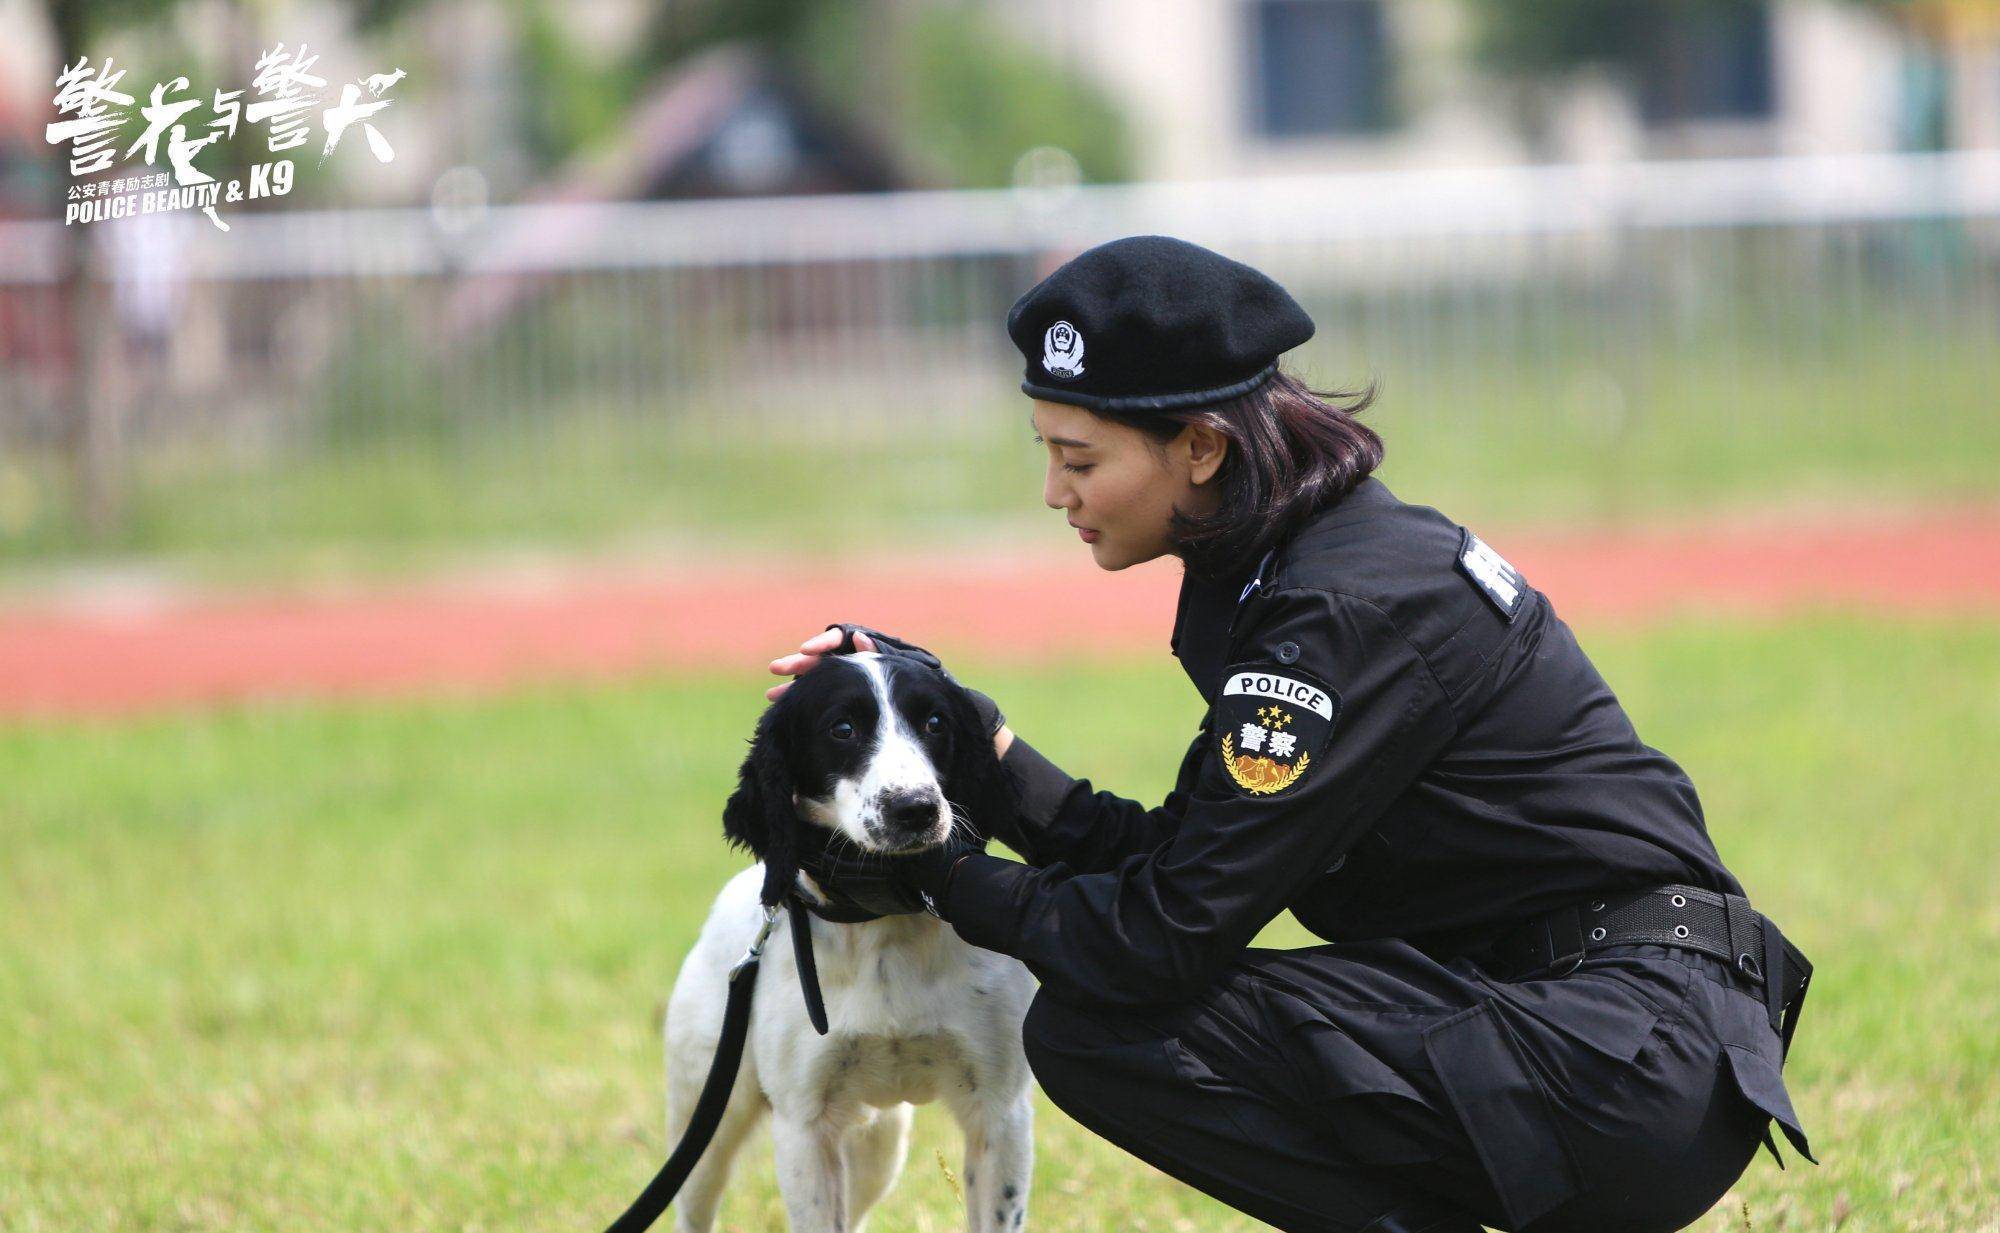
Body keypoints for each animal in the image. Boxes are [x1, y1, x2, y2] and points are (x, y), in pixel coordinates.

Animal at [672, 648, 1040, 1224]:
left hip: (877, 1147)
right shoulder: (803, 1127)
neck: (882, 928)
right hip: (708, 1122)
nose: (915, 808)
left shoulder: (1000, 1113)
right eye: (841, 728)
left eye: (935, 723)